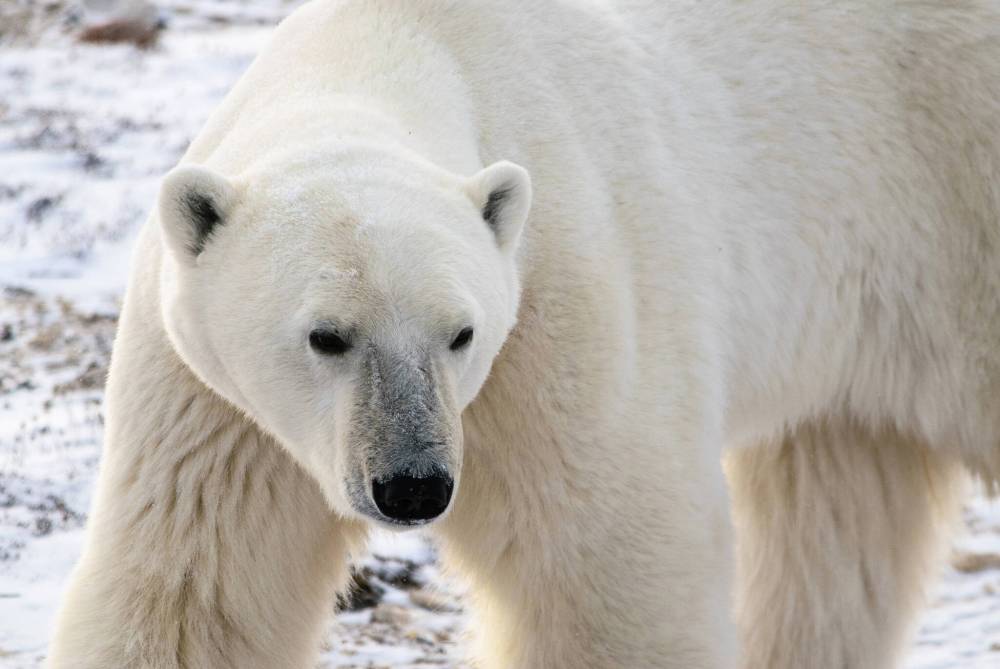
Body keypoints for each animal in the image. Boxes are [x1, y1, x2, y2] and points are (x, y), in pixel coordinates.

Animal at [48, 1, 1000, 668]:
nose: (414, 485)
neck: (395, 48)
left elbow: (607, 563)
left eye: (461, 332)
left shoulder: (561, 312)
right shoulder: (214, 409)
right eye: (327, 335)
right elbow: (191, 586)